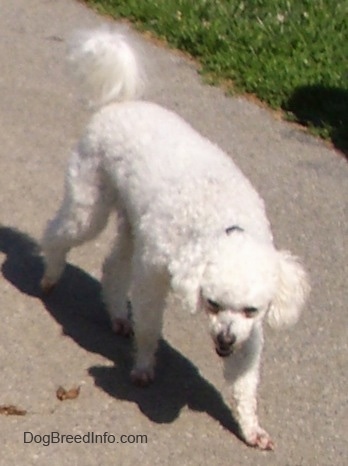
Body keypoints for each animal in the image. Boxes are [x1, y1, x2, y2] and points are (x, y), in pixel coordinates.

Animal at [40, 30, 310, 452]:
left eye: (251, 310)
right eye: (212, 303)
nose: (225, 341)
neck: (225, 222)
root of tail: (121, 103)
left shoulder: (250, 331)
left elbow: (246, 380)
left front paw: (251, 427)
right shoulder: (154, 275)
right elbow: (150, 325)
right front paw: (143, 367)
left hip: (132, 220)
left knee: (114, 265)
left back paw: (117, 315)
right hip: (90, 203)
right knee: (60, 233)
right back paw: (50, 275)